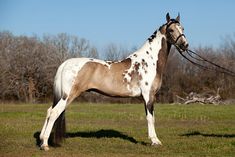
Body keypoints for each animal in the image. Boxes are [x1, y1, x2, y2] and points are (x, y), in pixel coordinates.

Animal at [39, 12, 188, 150]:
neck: (148, 61)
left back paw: (41, 139)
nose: (185, 45)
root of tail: (65, 64)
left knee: (49, 111)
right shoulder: (148, 96)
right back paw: (45, 144)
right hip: (68, 95)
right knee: (54, 113)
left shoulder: (146, 97)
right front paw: (155, 141)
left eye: (182, 28)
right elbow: (151, 118)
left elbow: (149, 117)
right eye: (171, 30)